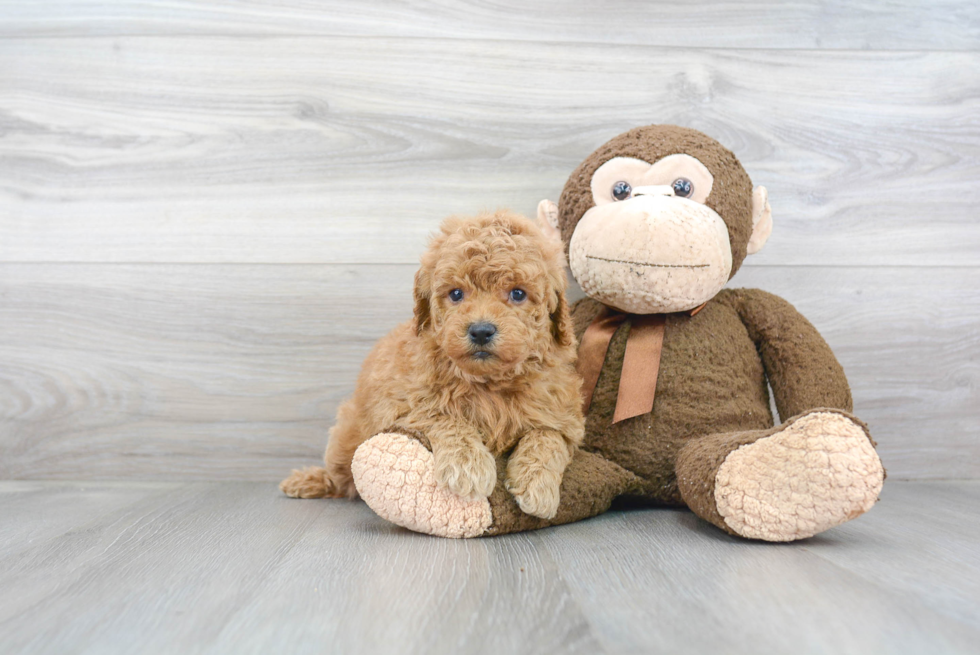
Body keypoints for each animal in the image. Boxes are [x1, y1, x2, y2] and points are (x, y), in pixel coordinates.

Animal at [280, 213, 580, 520]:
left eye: (518, 294)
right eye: (456, 294)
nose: (481, 331)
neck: (489, 383)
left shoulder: (562, 417)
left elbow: (548, 437)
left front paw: (537, 485)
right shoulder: (403, 406)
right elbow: (445, 416)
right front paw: (468, 466)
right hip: (346, 437)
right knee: (341, 477)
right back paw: (310, 480)